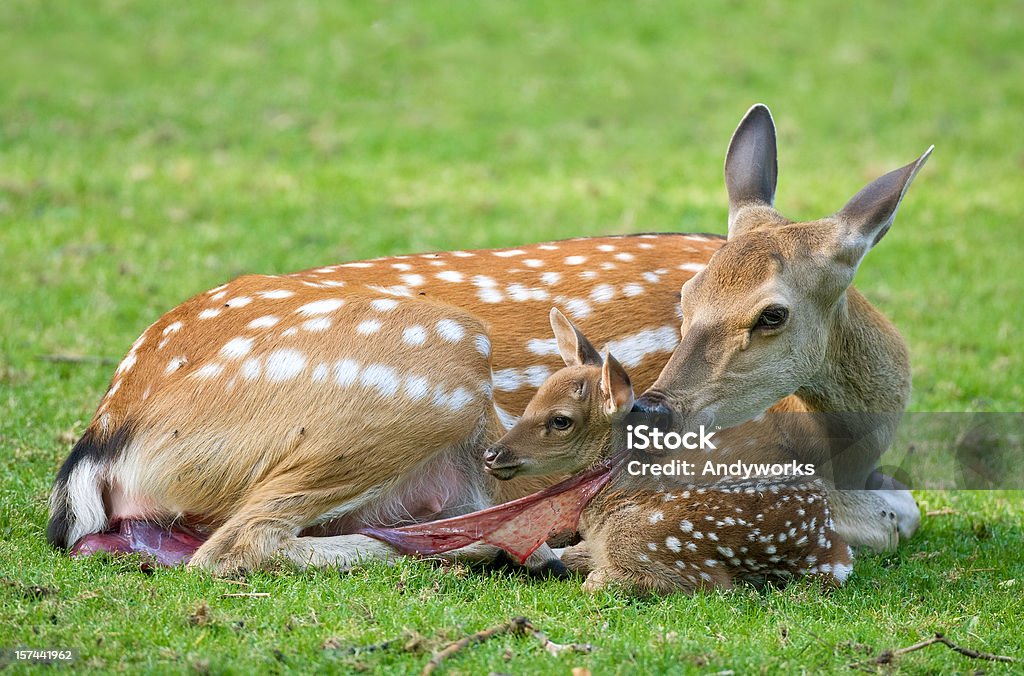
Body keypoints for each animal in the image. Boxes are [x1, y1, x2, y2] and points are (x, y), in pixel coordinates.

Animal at [48, 104, 929, 569]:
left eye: (770, 313)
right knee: (240, 544)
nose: (651, 411)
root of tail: (107, 433)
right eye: (686, 299)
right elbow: (897, 513)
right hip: (425, 371)